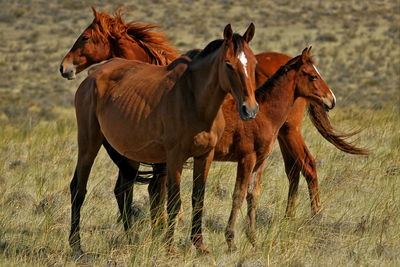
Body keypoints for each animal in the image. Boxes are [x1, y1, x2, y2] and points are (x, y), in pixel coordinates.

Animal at [71, 24, 260, 254]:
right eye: (228, 64)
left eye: (254, 63)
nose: (250, 109)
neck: (194, 98)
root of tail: (92, 75)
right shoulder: (174, 158)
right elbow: (173, 201)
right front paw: (169, 247)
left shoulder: (204, 156)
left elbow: (198, 198)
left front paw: (199, 245)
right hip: (88, 143)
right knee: (78, 189)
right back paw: (76, 245)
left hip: (129, 153)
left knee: (123, 191)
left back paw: (132, 240)